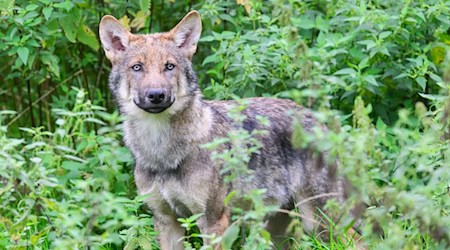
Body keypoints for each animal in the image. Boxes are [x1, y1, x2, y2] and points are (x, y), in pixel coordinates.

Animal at [98, 10, 356, 249]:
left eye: (169, 66)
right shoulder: (166, 220)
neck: (161, 151)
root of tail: (321, 121)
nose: (156, 95)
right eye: (137, 67)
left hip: (321, 223)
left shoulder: (213, 221)